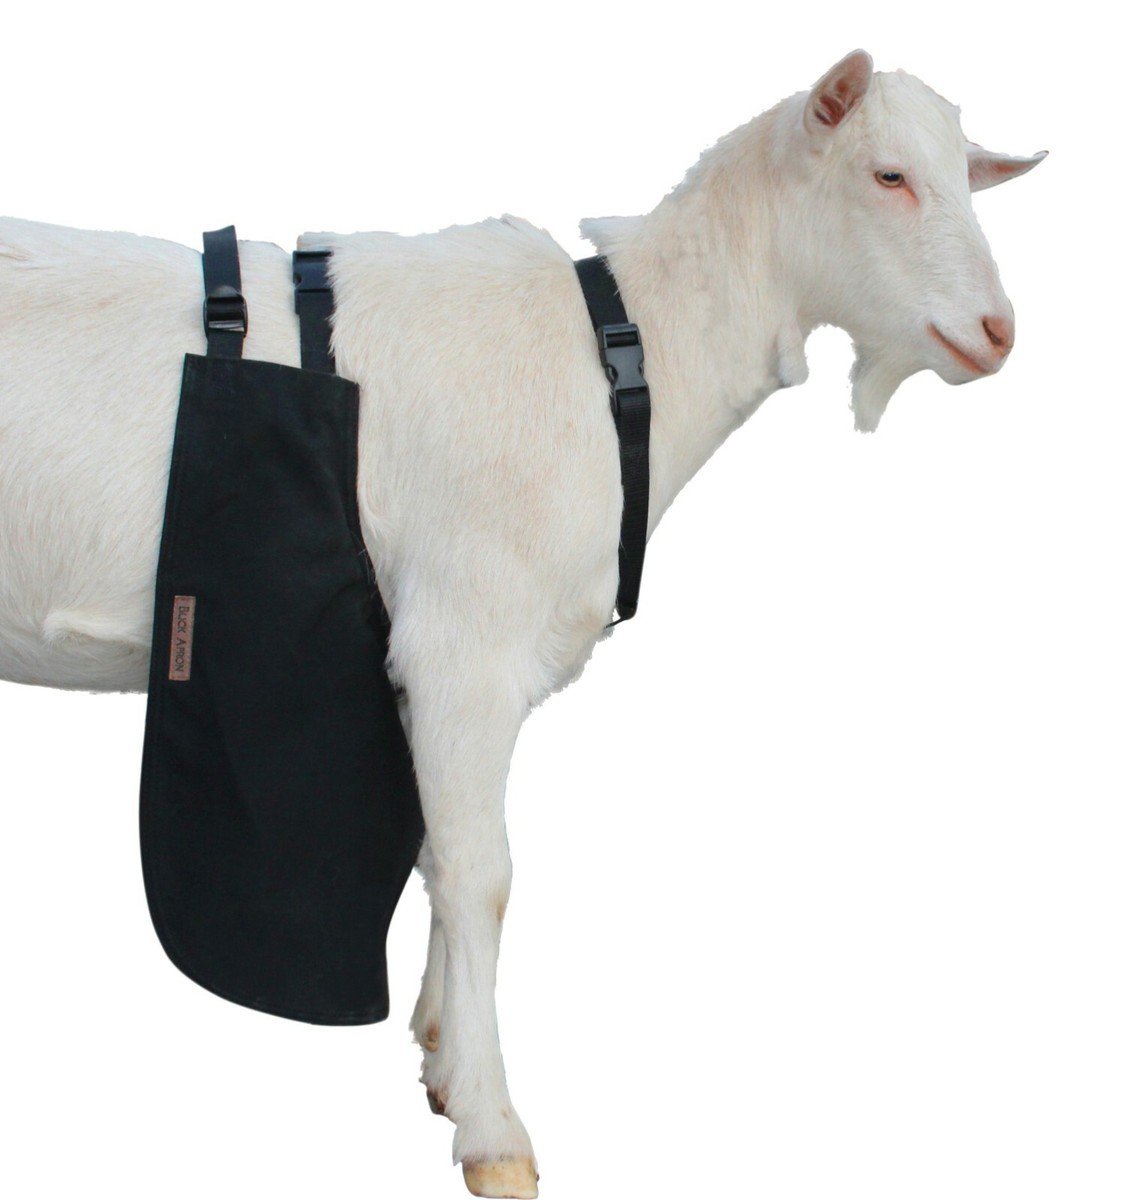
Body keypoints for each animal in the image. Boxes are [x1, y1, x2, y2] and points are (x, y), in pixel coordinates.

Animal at [0, 50, 1043, 1199]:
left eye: (965, 175)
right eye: (887, 175)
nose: (996, 332)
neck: (623, 350)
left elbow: (437, 857)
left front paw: (440, 1054)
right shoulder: (464, 640)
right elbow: (478, 875)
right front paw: (493, 1131)